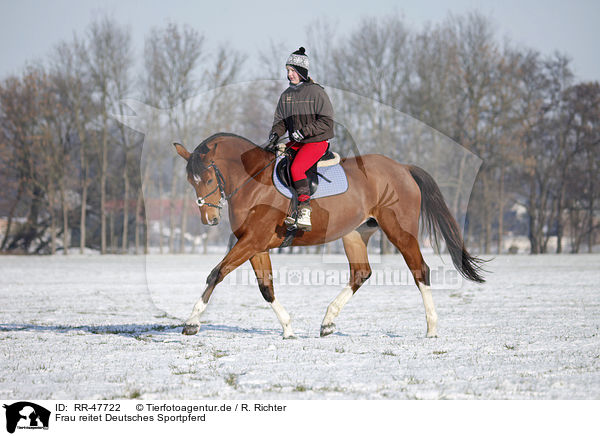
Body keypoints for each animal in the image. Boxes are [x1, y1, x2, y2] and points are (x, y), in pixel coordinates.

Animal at [172, 133, 482, 340]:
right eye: (190, 182)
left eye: (208, 179)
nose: (210, 220)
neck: (253, 181)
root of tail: (402, 168)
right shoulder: (257, 247)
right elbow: (266, 287)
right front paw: (288, 328)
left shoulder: (252, 242)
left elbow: (217, 273)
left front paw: (192, 322)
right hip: (355, 234)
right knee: (361, 273)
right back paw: (328, 321)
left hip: (400, 232)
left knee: (420, 270)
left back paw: (431, 328)